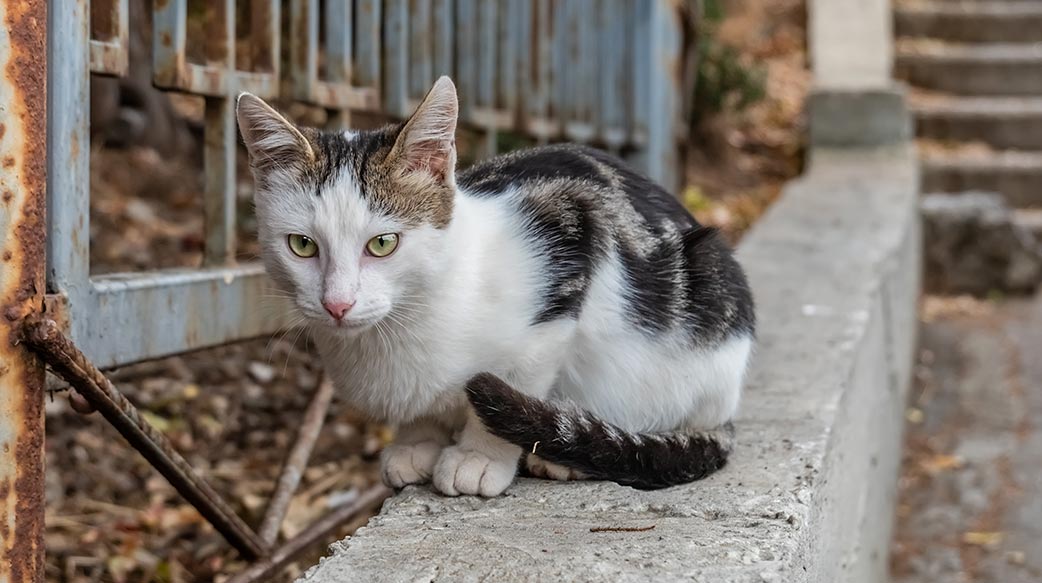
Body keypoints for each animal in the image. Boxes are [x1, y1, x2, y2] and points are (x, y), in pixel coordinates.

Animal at [237, 76, 758, 495]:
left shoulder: (570, 232)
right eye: (302, 245)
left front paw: (479, 457)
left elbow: (514, 378)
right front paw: (416, 440)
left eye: (383, 243)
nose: (337, 304)